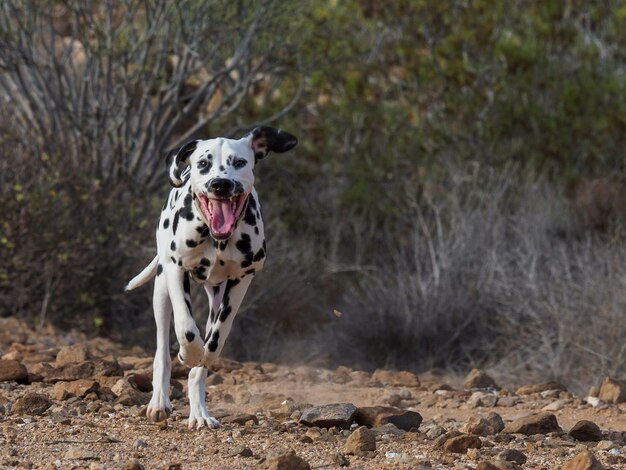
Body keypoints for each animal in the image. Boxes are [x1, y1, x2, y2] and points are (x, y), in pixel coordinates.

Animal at [125, 126, 298, 428]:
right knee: (162, 352)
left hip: (215, 295)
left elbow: (217, 337)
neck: (216, 238)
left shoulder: (242, 280)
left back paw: (199, 413)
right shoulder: (175, 270)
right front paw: (189, 352)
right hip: (160, 290)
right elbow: (186, 328)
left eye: (239, 162)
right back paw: (159, 401)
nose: (220, 184)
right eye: (203, 163)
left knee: (200, 367)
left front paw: (203, 355)